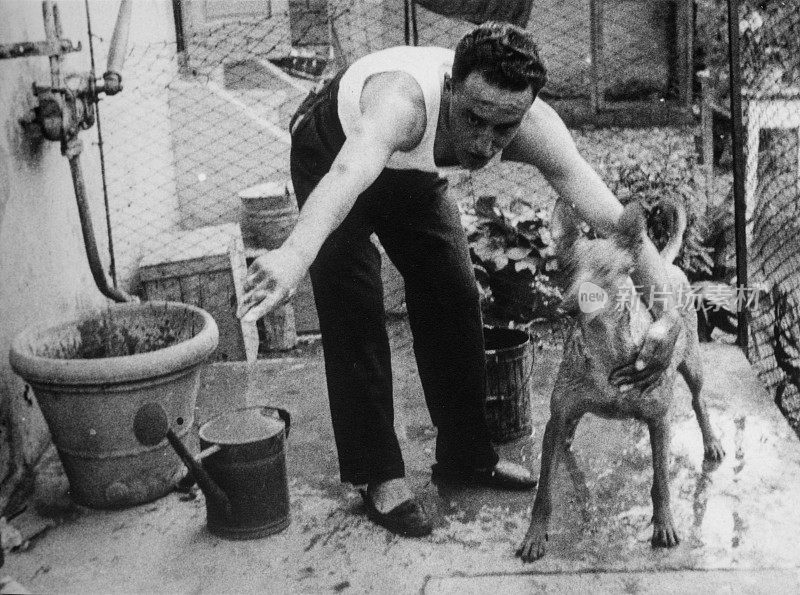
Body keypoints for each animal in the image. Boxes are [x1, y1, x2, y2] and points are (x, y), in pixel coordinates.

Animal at [516, 200, 728, 564]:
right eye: (566, 269)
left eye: (605, 271)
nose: (568, 306)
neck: (606, 349)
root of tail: (664, 262)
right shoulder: (557, 417)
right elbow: (543, 491)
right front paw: (534, 535)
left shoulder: (659, 420)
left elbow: (661, 483)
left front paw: (664, 525)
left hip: (692, 363)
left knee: (699, 400)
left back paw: (711, 441)